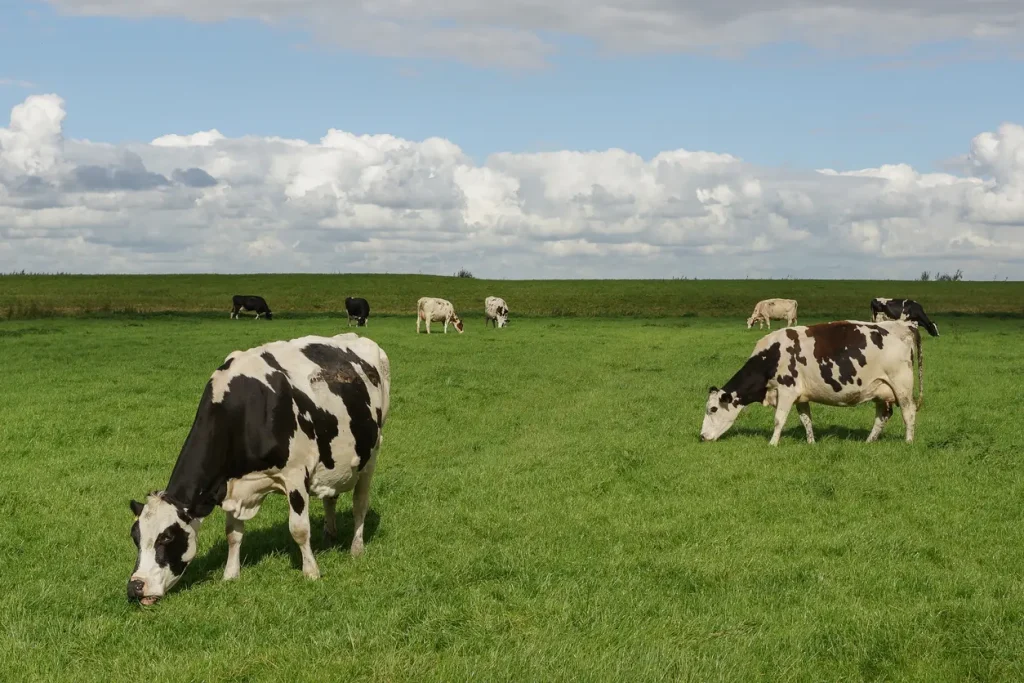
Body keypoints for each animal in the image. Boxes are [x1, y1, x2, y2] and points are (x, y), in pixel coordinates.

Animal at [126, 333, 390, 605]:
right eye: (135, 537)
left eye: (167, 537)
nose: (135, 586)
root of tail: (355, 337)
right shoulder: (231, 485)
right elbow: (233, 533)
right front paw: (230, 575)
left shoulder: (295, 475)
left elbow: (299, 529)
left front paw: (311, 572)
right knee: (331, 496)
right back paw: (330, 533)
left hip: (372, 453)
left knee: (360, 504)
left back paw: (356, 548)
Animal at [700, 320, 923, 446]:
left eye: (712, 409)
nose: (702, 436)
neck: (771, 355)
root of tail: (905, 326)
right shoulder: (801, 396)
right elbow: (806, 420)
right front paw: (811, 442)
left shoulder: (787, 390)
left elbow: (779, 419)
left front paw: (772, 443)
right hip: (880, 389)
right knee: (882, 416)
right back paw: (868, 442)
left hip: (901, 385)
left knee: (909, 412)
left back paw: (908, 442)